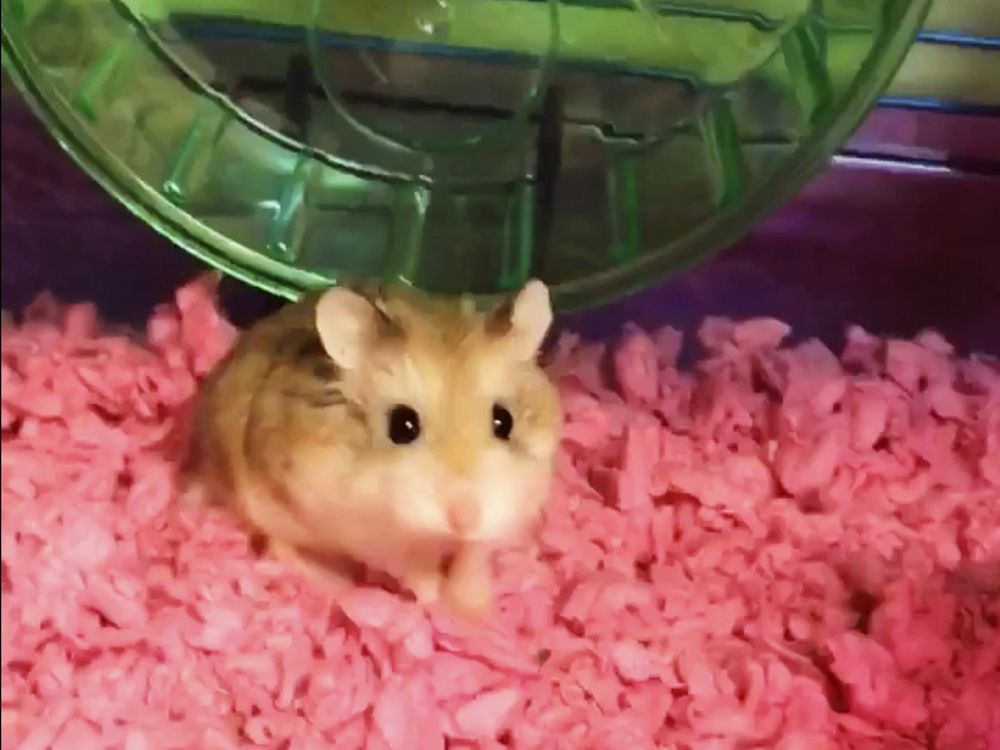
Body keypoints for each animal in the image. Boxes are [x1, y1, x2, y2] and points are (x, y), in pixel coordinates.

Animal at [181, 280, 561, 618]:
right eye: (402, 426)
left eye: (504, 421)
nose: (465, 518)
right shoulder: (368, 534)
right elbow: (417, 569)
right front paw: (436, 601)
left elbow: (472, 559)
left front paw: (476, 611)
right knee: (278, 545)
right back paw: (331, 581)